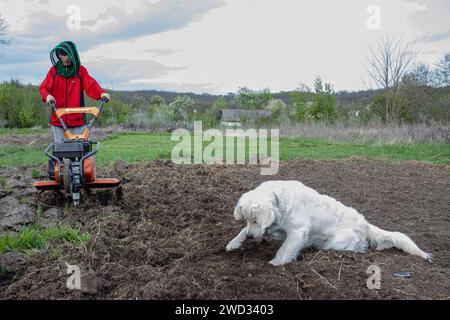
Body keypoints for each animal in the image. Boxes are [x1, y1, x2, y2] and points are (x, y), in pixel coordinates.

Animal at [227, 180, 430, 264]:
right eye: (247, 220)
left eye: (256, 220)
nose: (252, 237)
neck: (281, 201)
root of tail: (365, 223)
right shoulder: (272, 228)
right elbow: (242, 231)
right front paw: (233, 243)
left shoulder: (297, 232)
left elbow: (284, 250)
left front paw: (275, 264)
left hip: (336, 242)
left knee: (358, 248)